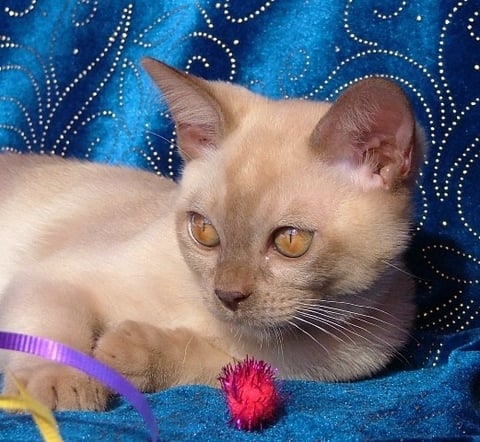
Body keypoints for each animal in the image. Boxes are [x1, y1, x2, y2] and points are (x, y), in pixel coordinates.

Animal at [0, 57, 420, 410]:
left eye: (290, 241)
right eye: (204, 231)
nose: (227, 296)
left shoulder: (297, 369)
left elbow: (212, 363)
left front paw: (127, 352)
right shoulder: (54, 279)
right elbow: (53, 337)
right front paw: (61, 384)